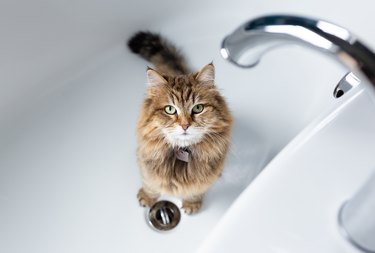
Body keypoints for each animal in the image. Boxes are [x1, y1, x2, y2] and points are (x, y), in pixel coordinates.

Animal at [129, 31, 235, 213]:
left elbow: (194, 192)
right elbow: (150, 185)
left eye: (198, 108)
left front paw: (191, 205)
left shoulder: (203, 179)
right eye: (170, 110)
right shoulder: (147, 168)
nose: (185, 125)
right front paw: (147, 198)